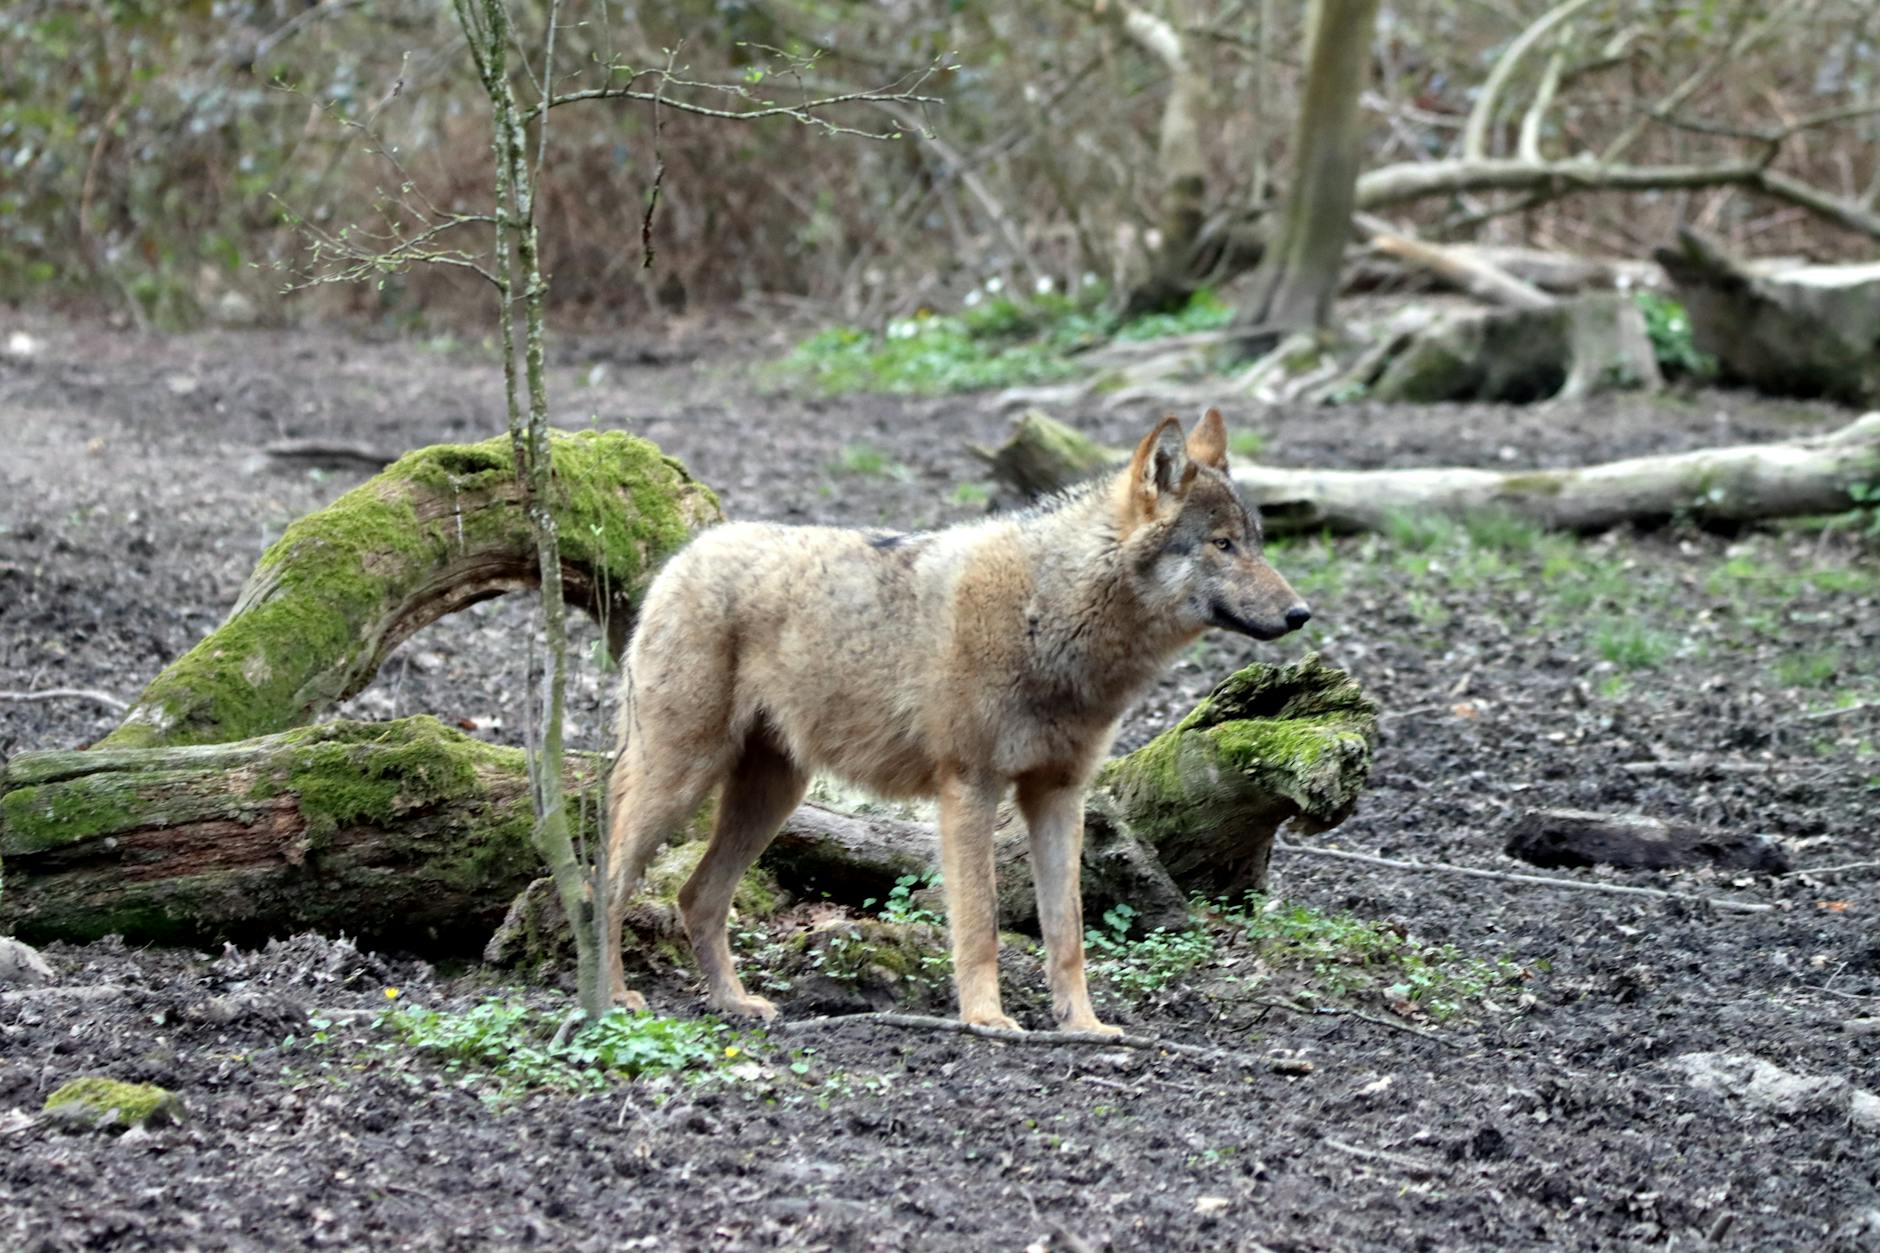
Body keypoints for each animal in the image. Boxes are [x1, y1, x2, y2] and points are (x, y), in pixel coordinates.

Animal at [602, 408, 1310, 1034]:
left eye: (1256, 543)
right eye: (1222, 545)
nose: (1301, 613)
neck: (1052, 612)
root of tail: (683, 554)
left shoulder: (1060, 796)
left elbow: (1068, 934)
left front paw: (1084, 1026)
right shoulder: (970, 788)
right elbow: (980, 925)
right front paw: (986, 1020)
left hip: (772, 795)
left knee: (696, 896)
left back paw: (734, 1003)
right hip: (682, 779)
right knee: (605, 881)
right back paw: (611, 996)